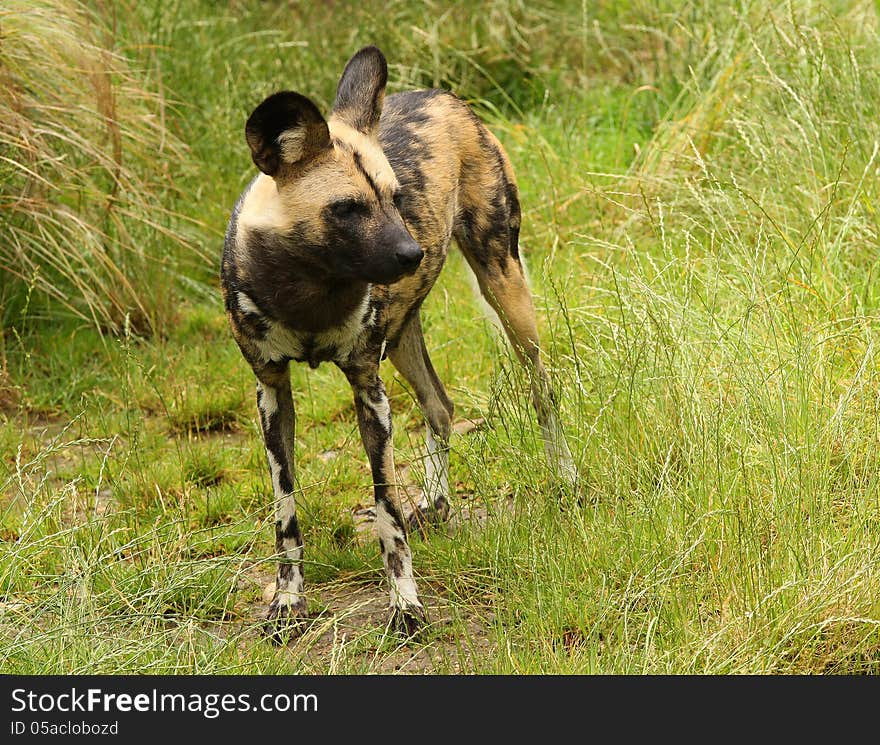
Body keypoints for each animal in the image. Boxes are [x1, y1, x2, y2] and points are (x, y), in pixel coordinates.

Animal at [223, 46, 576, 640]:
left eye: (394, 197)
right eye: (347, 208)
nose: (413, 253)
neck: (308, 290)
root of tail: (441, 94)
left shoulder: (369, 389)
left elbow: (385, 510)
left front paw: (406, 605)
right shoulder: (271, 392)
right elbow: (285, 511)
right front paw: (288, 601)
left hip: (505, 288)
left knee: (542, 392)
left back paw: (566, 481)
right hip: (403, 334)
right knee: (441, 405)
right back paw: (437, 501)